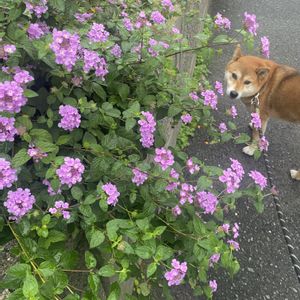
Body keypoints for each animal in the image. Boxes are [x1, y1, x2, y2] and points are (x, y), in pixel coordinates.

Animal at [226, 44, 300, 180]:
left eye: (247, 82)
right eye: (234, 75)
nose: (234, 94)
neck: (264, 85)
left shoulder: (262, 116)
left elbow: (256, 137)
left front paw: (251, 149)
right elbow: (257, 128)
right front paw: (252, 125)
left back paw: (296, 175)